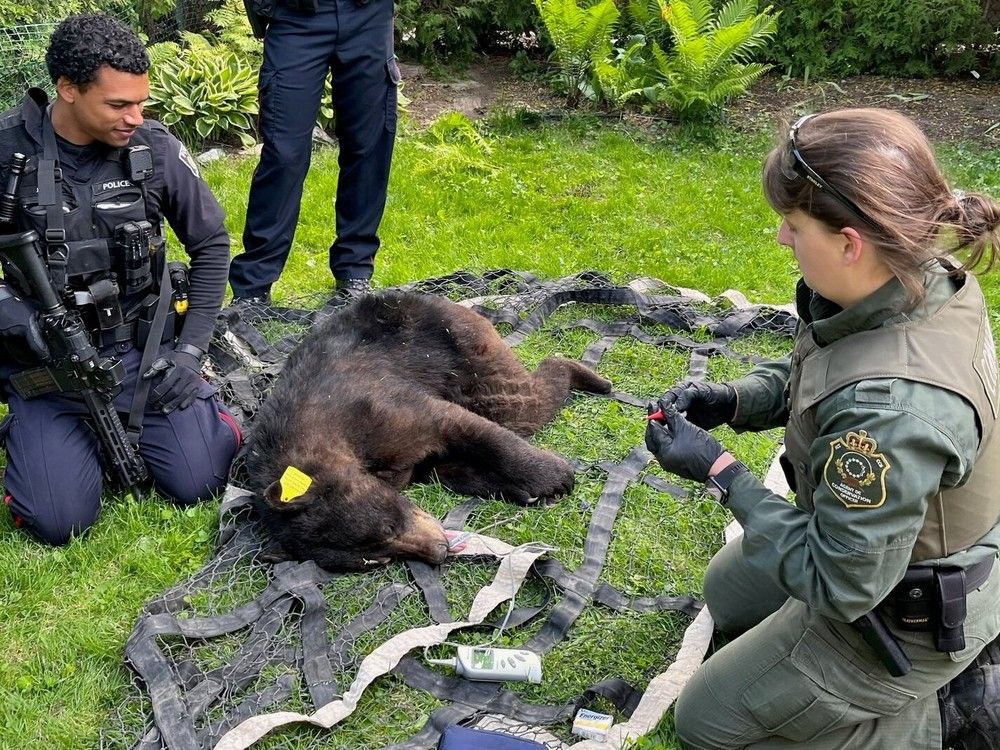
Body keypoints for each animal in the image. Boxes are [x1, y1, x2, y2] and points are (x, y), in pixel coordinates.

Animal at [245, 291, 612, 571]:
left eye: (388, 527)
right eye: (375, 560)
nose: (440, 551)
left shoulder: (375, 405)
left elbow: (467, 429)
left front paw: (552, 477)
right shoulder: (404, 461)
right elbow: (448, 468)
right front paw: (521, 490)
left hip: (465, 353)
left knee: (518, 403)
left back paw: (590, 377)